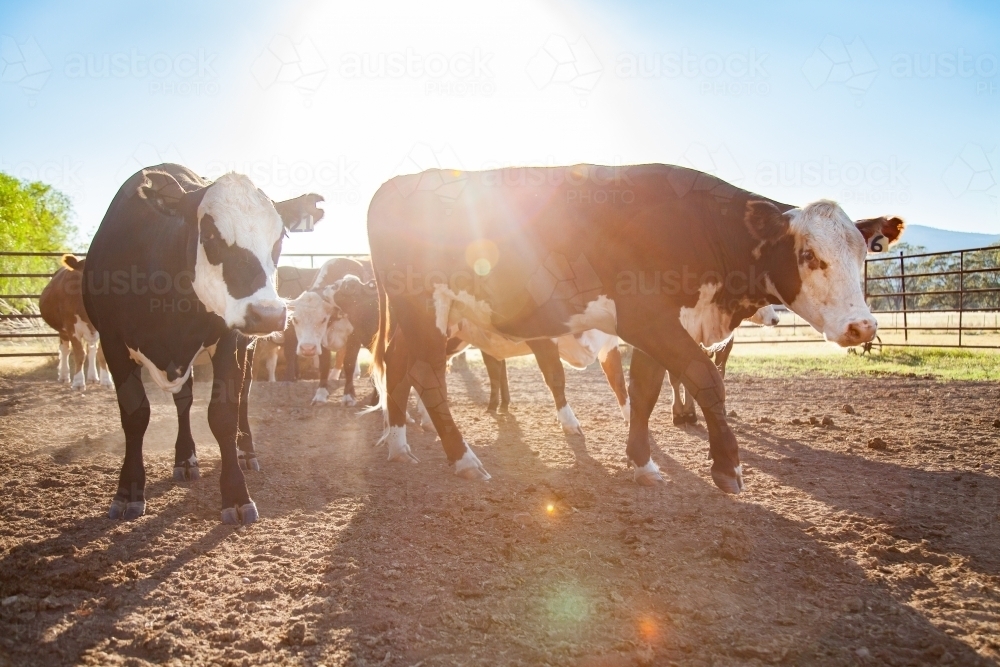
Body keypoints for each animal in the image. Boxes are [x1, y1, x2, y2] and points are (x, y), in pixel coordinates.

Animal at [38, 256, 112, 392]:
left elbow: (101, 354)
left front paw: (106, 381)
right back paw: (63, 376)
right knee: (65, 350)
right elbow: (79, 354)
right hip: (62, 330)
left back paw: (93, 377)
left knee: (91, 350)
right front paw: (78, 382)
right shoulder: (71, 327)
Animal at [83, 164, 324, 524]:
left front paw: (236, 495)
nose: (267, 314)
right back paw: (185, 458)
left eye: (279, 237)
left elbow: (223, 414)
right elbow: (136, 415)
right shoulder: (112, 342)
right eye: (209, 235)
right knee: (184, 401)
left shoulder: (229, 340)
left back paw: (245, 451)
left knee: (243, 395)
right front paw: (128, 491)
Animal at [368, 164, 908, 494]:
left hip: (435, 319)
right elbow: (704, 378)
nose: (862, 326)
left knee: (397, 363)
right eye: (808, 255)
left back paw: (397, 443)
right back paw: (461, 458)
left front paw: (642, 463)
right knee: (425, 373)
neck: (698, 227)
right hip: (426, 308)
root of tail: (396, 183)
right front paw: (727, 467)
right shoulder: (646, 317)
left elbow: (645, 390)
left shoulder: (664, 326)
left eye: (862, 253)